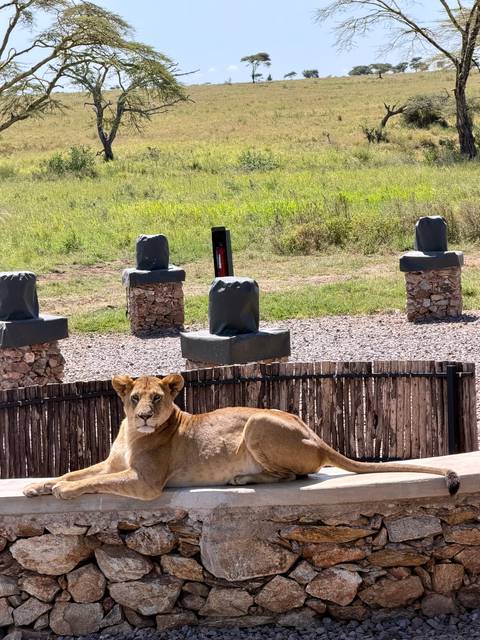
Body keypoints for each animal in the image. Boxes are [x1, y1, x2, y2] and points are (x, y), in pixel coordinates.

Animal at [23, 373, 460, 500]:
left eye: (157, 398)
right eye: (134, 398)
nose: (145, 416)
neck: (131, 433)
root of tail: (317, 435)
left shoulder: (146, 482)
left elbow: (95, 482)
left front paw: (61, 491)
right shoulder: (113, 461)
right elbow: (79, 472)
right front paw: (39, 486)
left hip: (255, 424)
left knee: (290, 476)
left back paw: (241, 478)